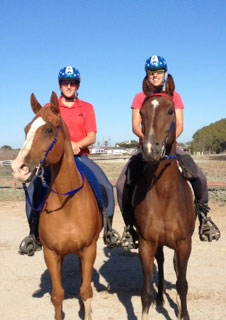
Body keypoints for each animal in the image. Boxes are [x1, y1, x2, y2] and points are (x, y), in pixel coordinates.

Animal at [10, 91, 102, 318]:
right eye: (26, 129)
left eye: (49, 130)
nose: (18, 168)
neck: (67, 204)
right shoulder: (51, 254)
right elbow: (57, 295)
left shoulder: (89, 249)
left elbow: (86, 291)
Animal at [132, 78, 196, 320]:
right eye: (142, 113)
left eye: (170, 111)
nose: (151, 150)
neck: (165, 193)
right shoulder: (146, 244)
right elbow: (146, 292)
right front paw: (152, 302)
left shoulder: (184, 243)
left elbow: (182, 284)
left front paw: (183, 314)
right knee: (161, 262)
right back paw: (160, 298)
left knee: (178, 270)